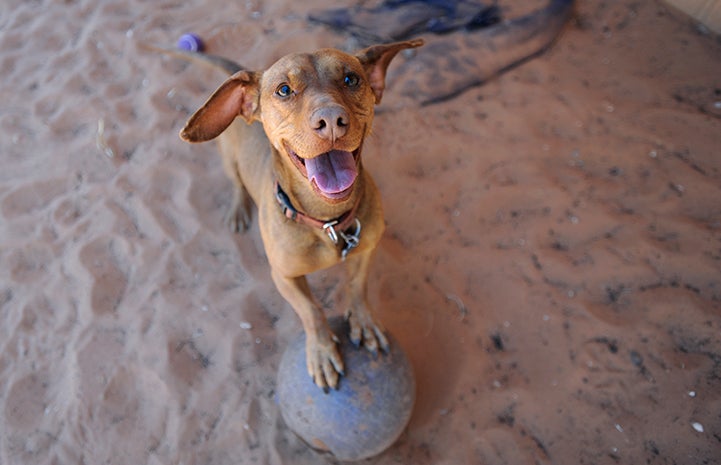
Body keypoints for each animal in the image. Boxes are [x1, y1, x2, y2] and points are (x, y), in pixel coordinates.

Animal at [179, 39, 422, 388]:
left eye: (351, 79)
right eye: (283, 89)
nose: (332, 120)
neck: (327, 221)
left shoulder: (366, 250)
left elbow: (357, 286)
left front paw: (363, 320)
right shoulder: (284, 277)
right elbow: (311, 310)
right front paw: (321, 351)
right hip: (228, 158)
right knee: (236, 182)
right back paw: (238, 208)